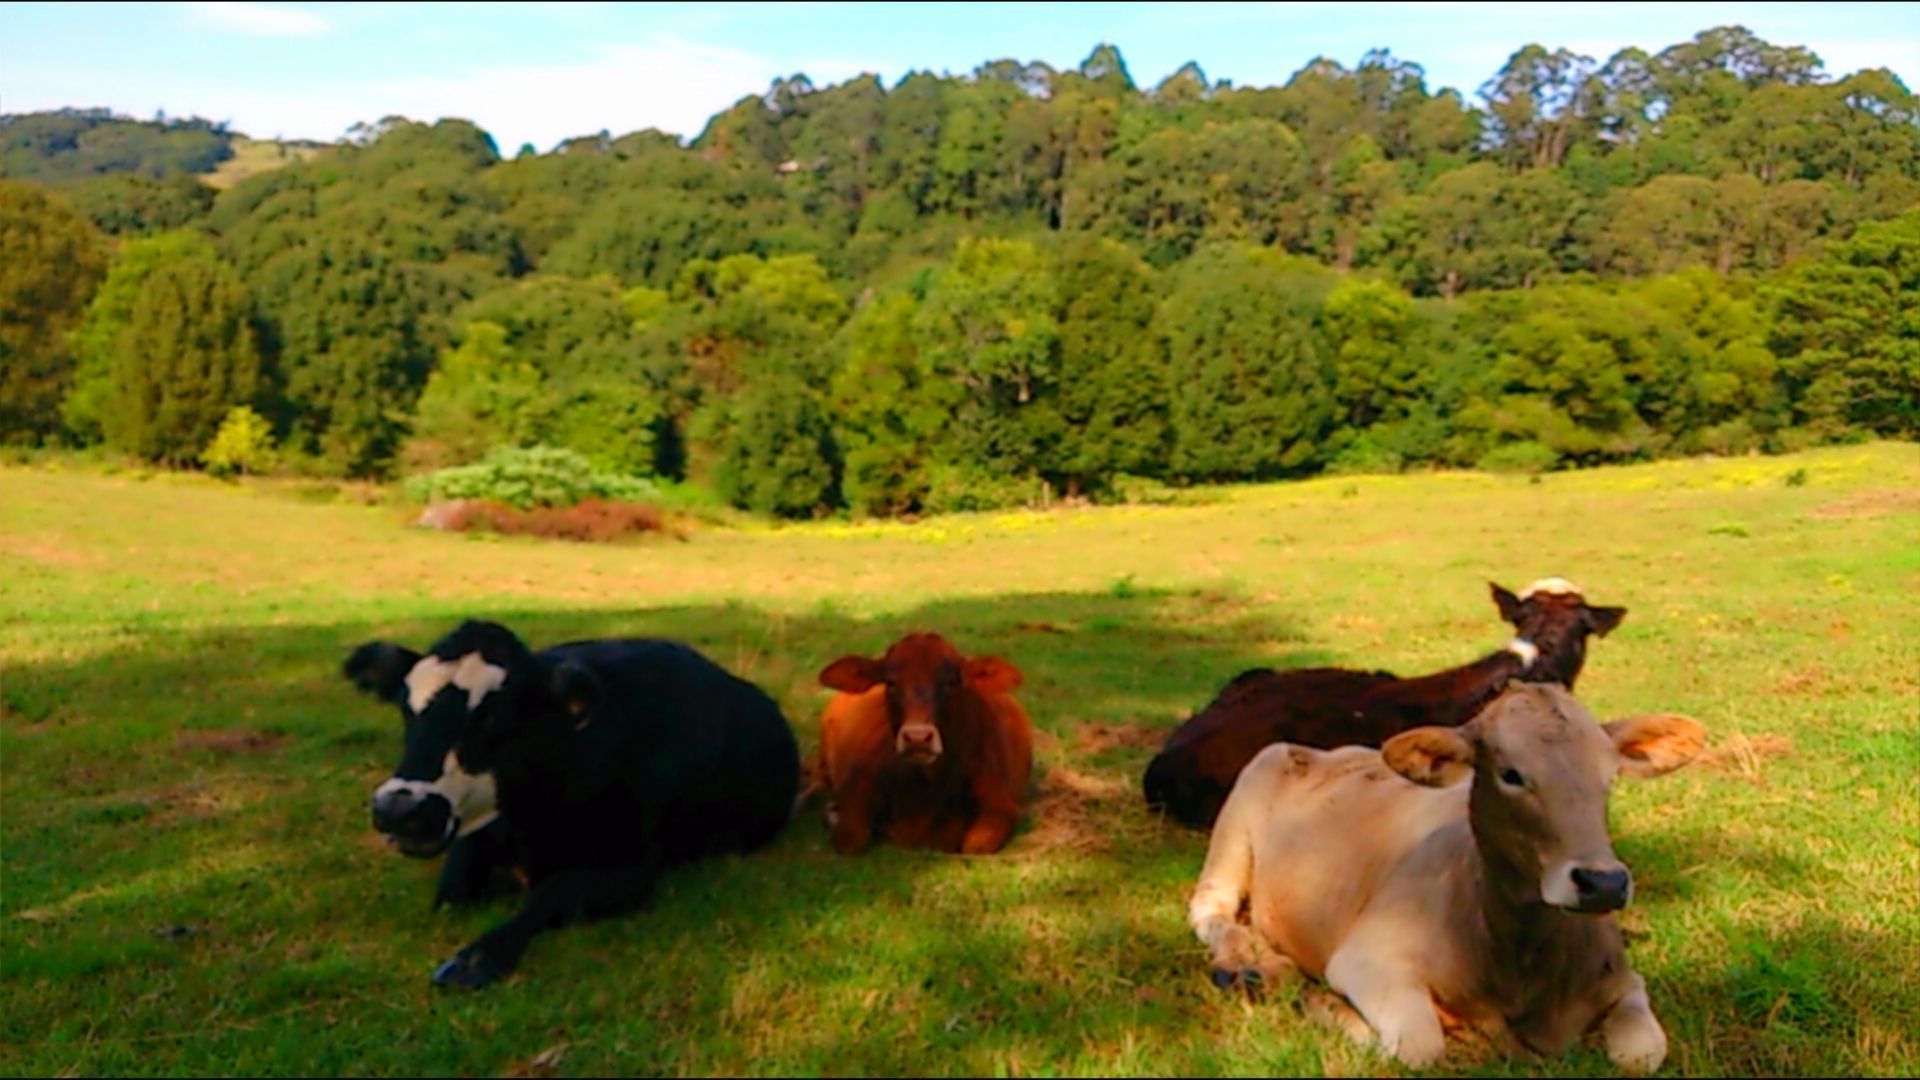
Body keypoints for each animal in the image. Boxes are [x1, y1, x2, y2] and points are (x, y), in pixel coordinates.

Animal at [343, 622, 794, 983]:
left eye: (493, 717)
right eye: (406, 708)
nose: (400, 810)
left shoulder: (634, 862)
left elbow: (553, 893)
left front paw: (476, 959)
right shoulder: (477, 834)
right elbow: (451, 891)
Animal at [814, 630, 1036, 849]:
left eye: (950, 682)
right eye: (890, 682)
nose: (917, 738)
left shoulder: (1001, 805)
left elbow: (976, 845)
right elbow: (851, 838)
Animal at [1190, 680, 1704, 1068]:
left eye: (1610, 775)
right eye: (1510, 774)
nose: (1603, 884)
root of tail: (1323, 750)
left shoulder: (1624, 981)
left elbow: (1641, 1053)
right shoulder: (1367, 960)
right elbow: (1419, 1045)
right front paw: (1324, 1004)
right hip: (1235, 827)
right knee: (1212, 912)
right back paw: (1251, 963)